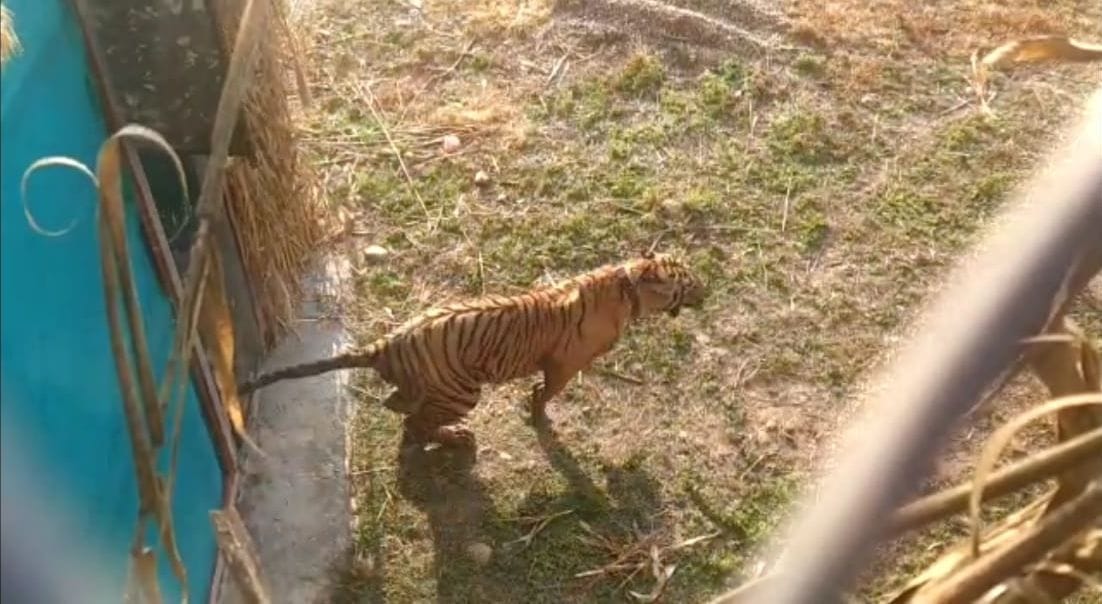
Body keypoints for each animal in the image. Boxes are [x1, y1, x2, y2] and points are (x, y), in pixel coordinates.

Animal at [237, 251, 707, 448]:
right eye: (687, 283)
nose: (708, 292)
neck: (628, 284)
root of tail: (391, 340)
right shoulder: (563, 364)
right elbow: (546, 393)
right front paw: (538, 415)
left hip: (428, 385)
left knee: (399, 406)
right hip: (462, 390)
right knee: (416, 425)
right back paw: (456, 440)